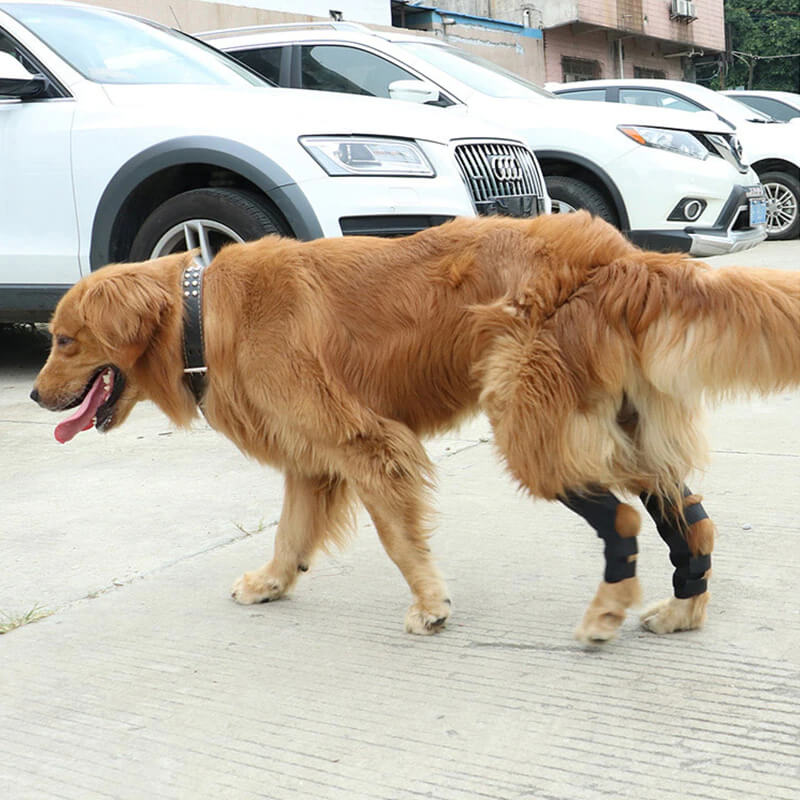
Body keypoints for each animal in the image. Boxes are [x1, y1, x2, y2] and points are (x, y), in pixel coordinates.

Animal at [28, 211, 796, 644]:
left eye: (65, 340)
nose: (33, 396)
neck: (200, 315)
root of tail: (620, 254)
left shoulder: (368, 444)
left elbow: (399, 541)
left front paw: (430, 606)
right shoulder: (310, 459)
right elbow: (289, 533)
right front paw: (273, 582)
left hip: (528, 427)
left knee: (628, 519)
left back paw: (609, 611)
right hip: (609, 424)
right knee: (686, 514)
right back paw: (683, 610)